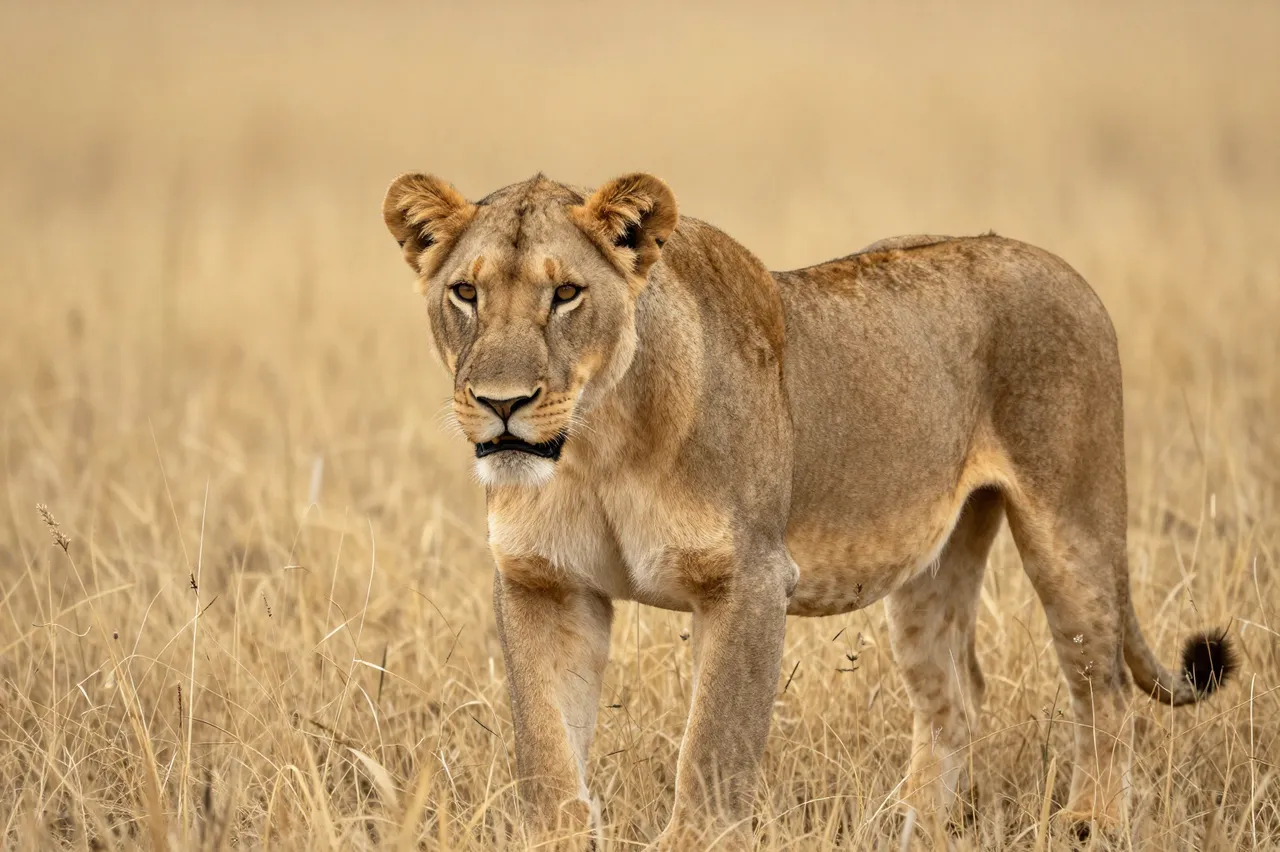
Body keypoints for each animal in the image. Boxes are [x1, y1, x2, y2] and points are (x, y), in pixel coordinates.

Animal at [381, 172, 1235, 846]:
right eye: (466, 293)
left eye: (565, 294)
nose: (502, 404)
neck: (598, 447)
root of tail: (1059, 265)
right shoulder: (544, 582)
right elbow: (547, 750)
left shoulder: (751, 578)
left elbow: (713, 751)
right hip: (930, 564)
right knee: (957, 694)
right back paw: (905, 827)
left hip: (1072, 525)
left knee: (1104, 686)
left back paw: (1093, 824)